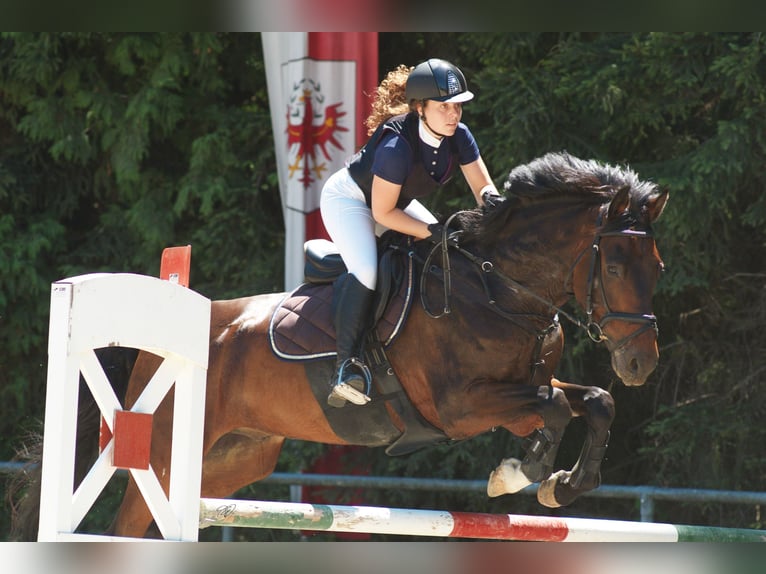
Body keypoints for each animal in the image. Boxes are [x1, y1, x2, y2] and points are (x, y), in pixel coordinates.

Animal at [10, 151, 668, 540]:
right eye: (614, 268)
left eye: (657, 267)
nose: (641, 363)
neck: (497, 286)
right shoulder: (460, 406)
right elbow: (553, 409)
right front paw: (519, 472)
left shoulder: (524, 383)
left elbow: (594, 401)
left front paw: (564, 483)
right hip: (165, 450)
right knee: (129, 521)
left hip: (230, 460)